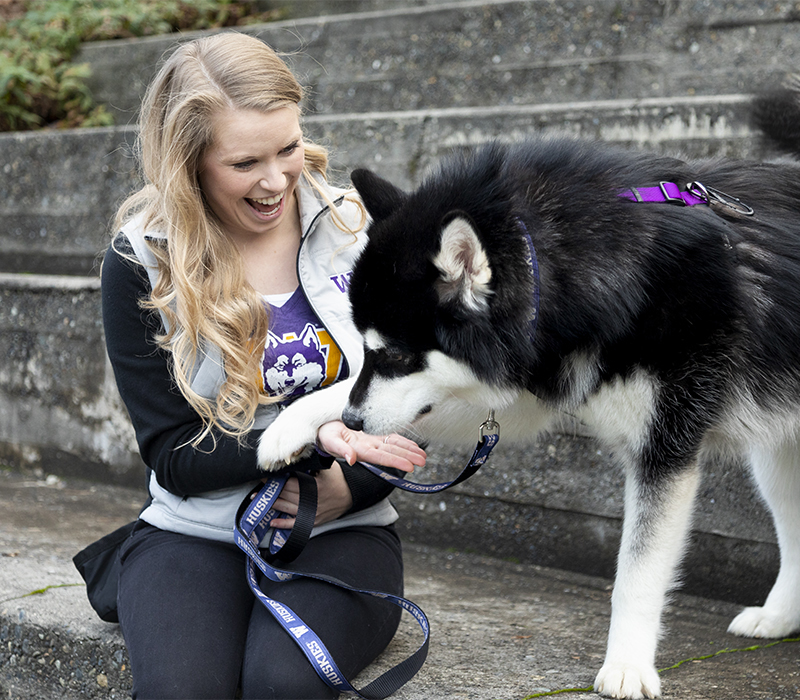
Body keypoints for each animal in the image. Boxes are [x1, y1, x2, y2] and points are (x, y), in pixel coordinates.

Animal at [258, 86, 800, 696]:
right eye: (368, 349)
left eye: (394, 354)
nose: (350, 425)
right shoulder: (523, 382)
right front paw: (290, 426)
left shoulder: (664, 446)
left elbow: (637, 573)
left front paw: (627, 665)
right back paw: (779, 617)